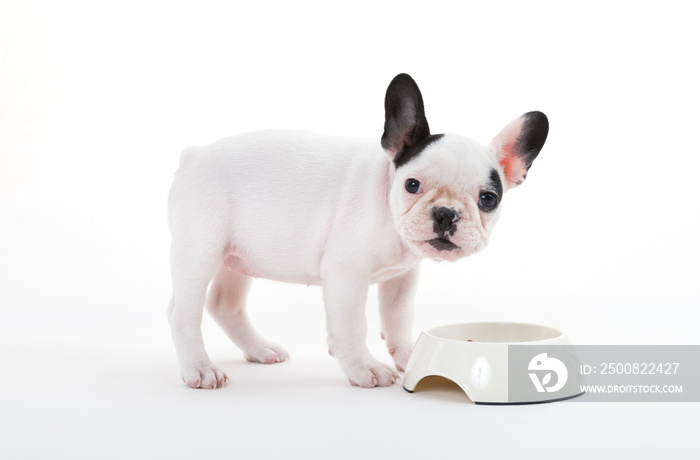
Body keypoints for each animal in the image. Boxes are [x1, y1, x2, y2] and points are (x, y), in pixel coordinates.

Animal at [167, 73, 548, 388]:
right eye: (412, 185)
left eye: (488, 199)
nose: (445, 214)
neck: (387, 204)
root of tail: (193, 155)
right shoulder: (346, 277)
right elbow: (352, 326)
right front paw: (365, 367)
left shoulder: (401, 280)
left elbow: (398, 319)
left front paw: (409, 355)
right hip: (200, 250)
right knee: (183, 312)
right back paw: (200, 368)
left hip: (237, 255)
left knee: (224, 304)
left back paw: (260, 349)